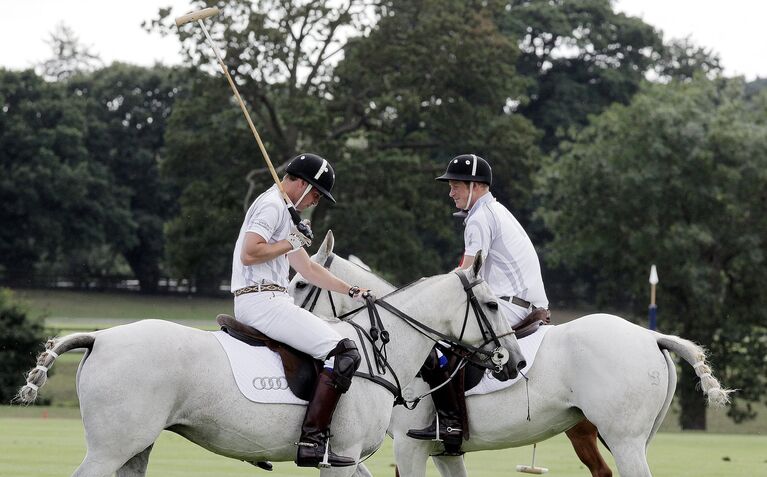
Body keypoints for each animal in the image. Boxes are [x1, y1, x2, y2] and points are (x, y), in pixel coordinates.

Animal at [18, 251, 524, 474]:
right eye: (492, 305)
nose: (514, 361)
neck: (384, 349)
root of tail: (100, 337)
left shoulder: (345, 460)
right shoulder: (339, 457)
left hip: (134, 449)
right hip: (110, 448)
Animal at [288, 231, 732, 476]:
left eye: (298, 284)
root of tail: (651, 337)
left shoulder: (409, 447)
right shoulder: (445, 451)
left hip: (623, 438)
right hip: (602, 433)